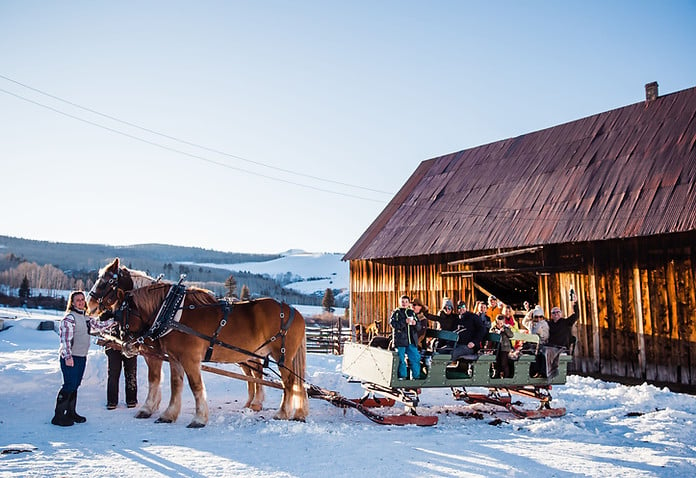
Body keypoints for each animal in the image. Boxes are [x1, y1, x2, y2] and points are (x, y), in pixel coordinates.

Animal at [85, 258, 308, 426]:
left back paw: (282, 413)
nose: (90, 306)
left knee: (288, 382)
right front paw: (166, 413)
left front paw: (198, 418)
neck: (169, 311)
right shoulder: (172, 357)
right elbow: (174, 384)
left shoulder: (184, 358)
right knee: (262, 377)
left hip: (282, 355)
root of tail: (294, 311)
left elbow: (191, 385)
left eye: (105, 282)